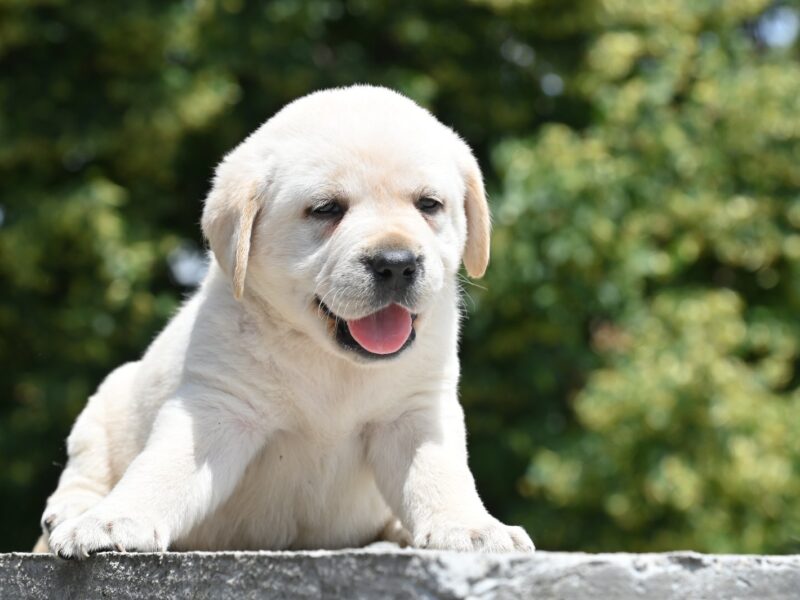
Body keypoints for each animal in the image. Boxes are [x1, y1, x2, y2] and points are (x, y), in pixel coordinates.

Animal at [40, 85, 536, 556]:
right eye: (327, 209)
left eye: (429, 204)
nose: (396, 264)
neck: (332, 362)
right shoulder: (218, 408)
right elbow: (161, 470)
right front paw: (112, 521)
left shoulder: (415, 412)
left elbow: (439, 475)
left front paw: (472, 527)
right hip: (104, 403)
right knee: (85, 470)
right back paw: (72, 510)